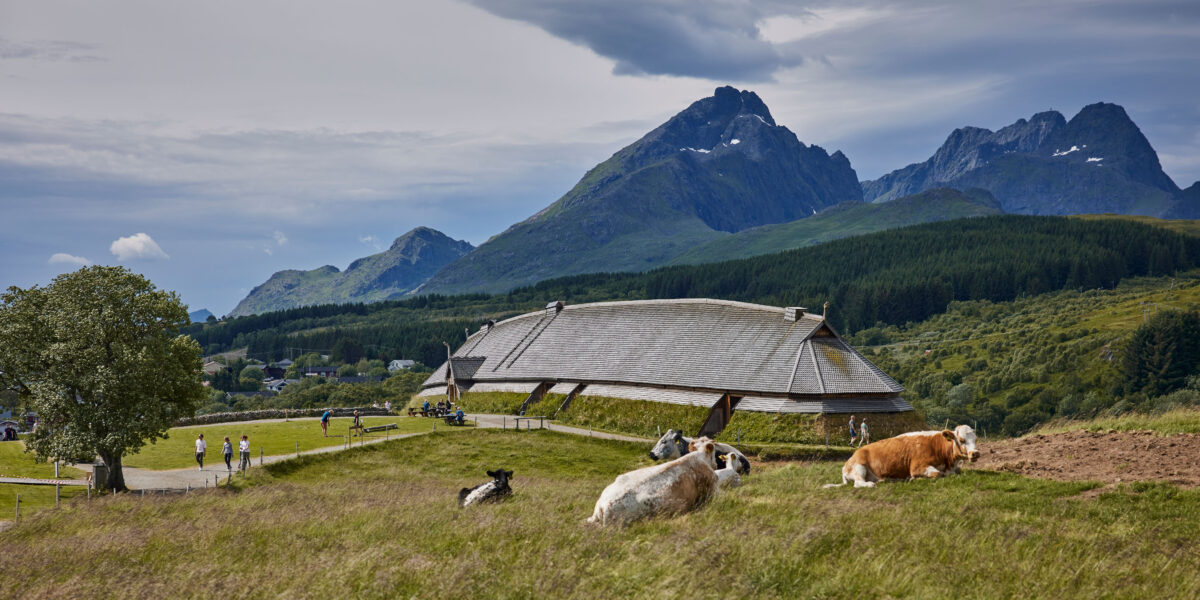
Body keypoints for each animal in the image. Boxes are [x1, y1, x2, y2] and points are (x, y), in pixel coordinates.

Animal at [825, 427, 974, 487]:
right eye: (961, 440)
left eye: (975, 438)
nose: (975, 453)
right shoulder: (917, 467)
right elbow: (938, 474)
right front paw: (914, 479)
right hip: (859, 466)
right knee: (858, 483)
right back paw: (871, 484)